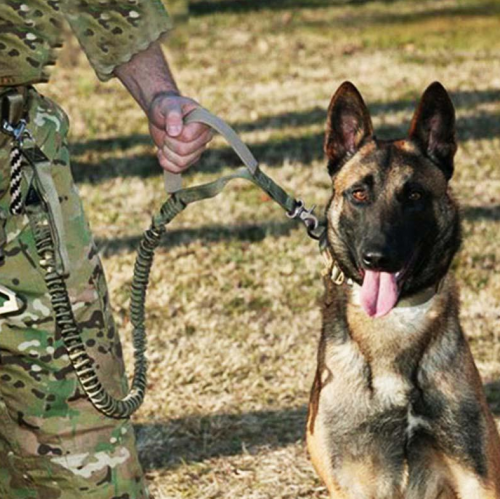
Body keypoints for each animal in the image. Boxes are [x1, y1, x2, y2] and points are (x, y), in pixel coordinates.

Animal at [306, 82, 500, 499]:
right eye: (358, 194)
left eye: (413, 196)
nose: (377, 257)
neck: (395, 322)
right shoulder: (354, 481)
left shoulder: (478, 476)